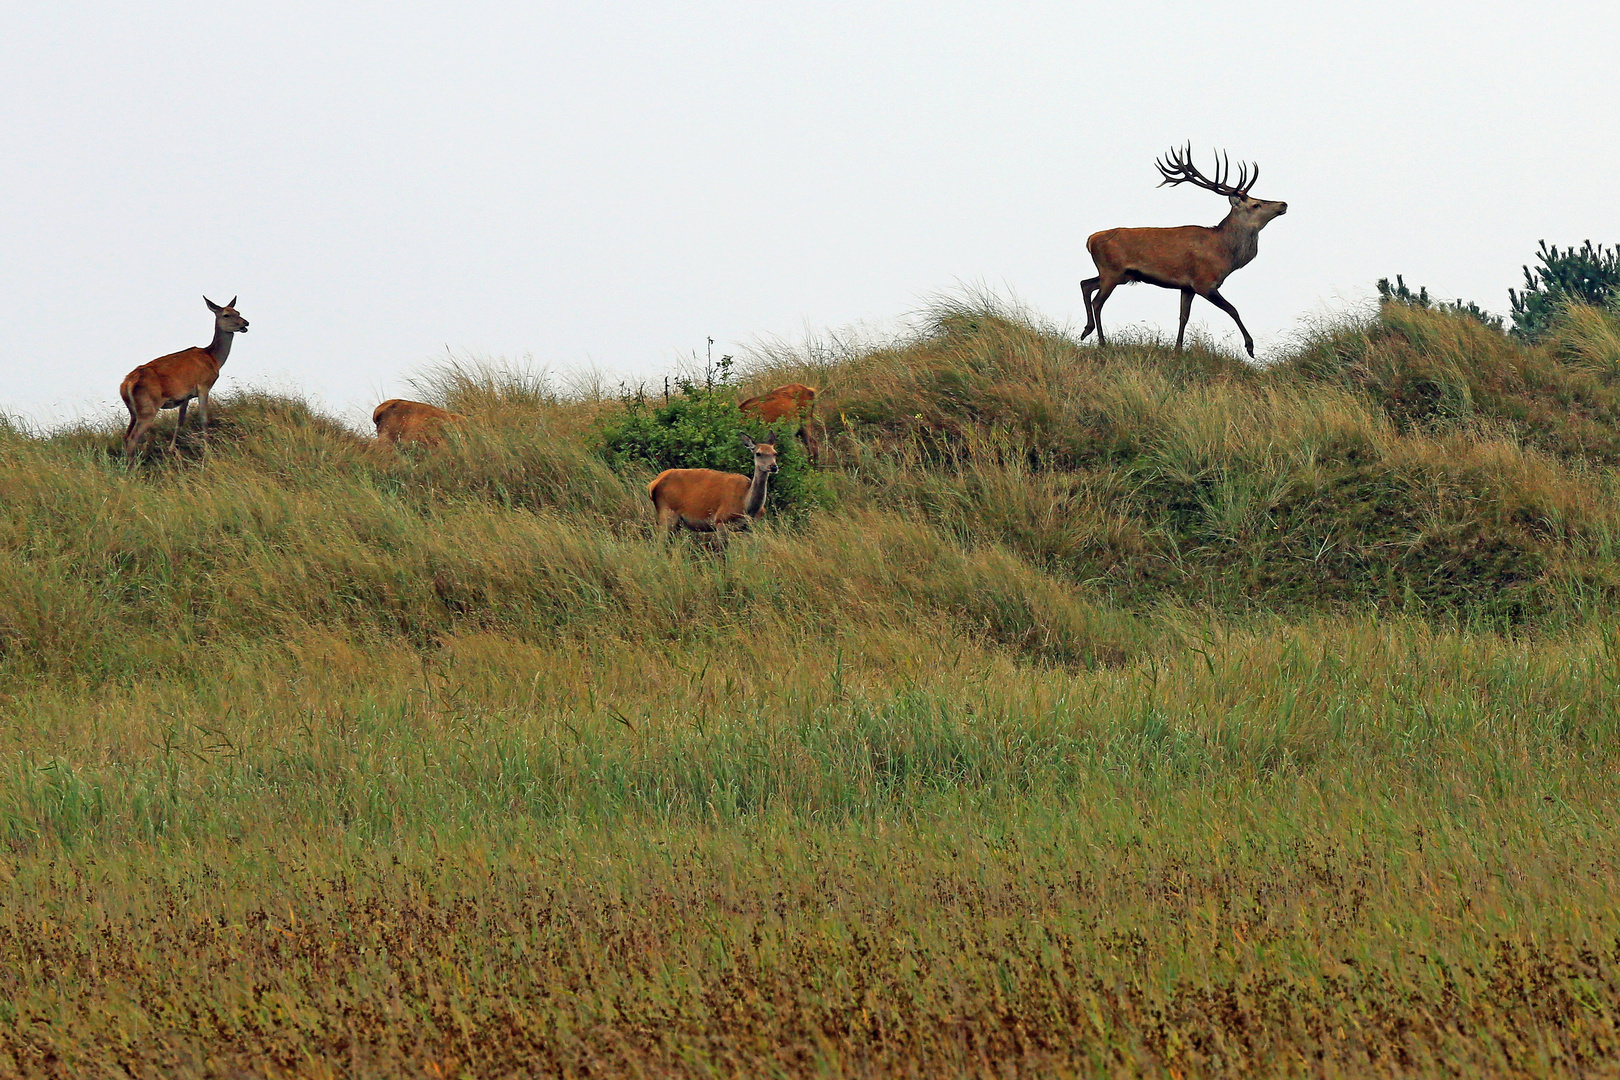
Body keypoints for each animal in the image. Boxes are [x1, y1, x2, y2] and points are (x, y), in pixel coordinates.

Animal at [120, 296, 249, 459]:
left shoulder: (185, 396)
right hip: (147, 407)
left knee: (126, 436)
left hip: (133, 411)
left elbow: (180, 420)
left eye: (238, 312)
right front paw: (208, 450)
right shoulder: (203, 385)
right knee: (132, 438)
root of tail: (126, 384)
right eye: (226, 315)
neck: (213, 359)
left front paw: (172, 449)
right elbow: (204, 419)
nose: (246, 323)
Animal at [654, 433, 787, 544]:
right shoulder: (720, 521)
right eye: (758, 453)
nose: (774, 466)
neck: (747, 506)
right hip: (667, 513)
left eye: (775, 453)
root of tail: (653, 483)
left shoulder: (750, 527)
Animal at [1082, 145, 1283, 356]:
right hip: (1112, 271)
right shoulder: (1204, 282)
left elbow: (1183, 317)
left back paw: (1087, 330)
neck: (1224, 255)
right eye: (1256, 204)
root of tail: (1090, 240)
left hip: (1120, 275)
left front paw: (1177, 349)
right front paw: (1250, 346)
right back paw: (1102, 342)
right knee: (1097, 302)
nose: (1283, 204)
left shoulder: (1187, 286)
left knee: (1085, 284)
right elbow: (1232, 309)